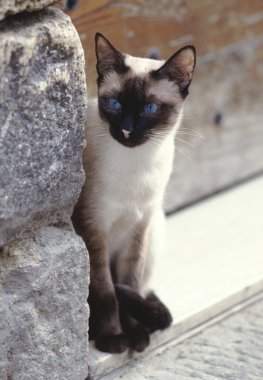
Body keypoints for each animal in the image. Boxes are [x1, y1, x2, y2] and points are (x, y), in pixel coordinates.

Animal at [72, 32, 196, 354]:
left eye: (150, 109)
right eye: (114, 103)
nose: (127, 131)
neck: (136, 165)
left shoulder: (138, 228)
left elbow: (130, 281)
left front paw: (137, 337)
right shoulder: (94, 231)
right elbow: (106, 292)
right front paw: (114, 340)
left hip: (156, 229)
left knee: (144, 288)